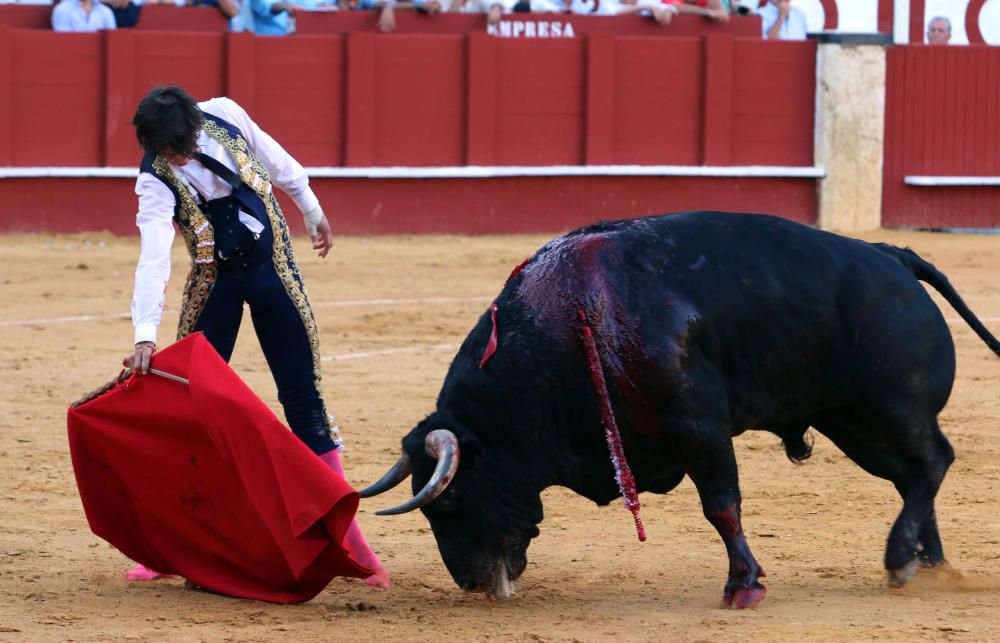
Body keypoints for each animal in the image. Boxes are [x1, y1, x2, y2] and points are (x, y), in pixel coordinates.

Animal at [362, 214, 1000, 612]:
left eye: (448, 503)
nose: (471, 582)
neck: (566, 324)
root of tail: (894, 258)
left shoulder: (700, 429)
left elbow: (721, 506)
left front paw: (743, 586)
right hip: (852, 421)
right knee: (911, 474)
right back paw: (927, 563)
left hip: (890, 408)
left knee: (932, 462)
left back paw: (901, 558)